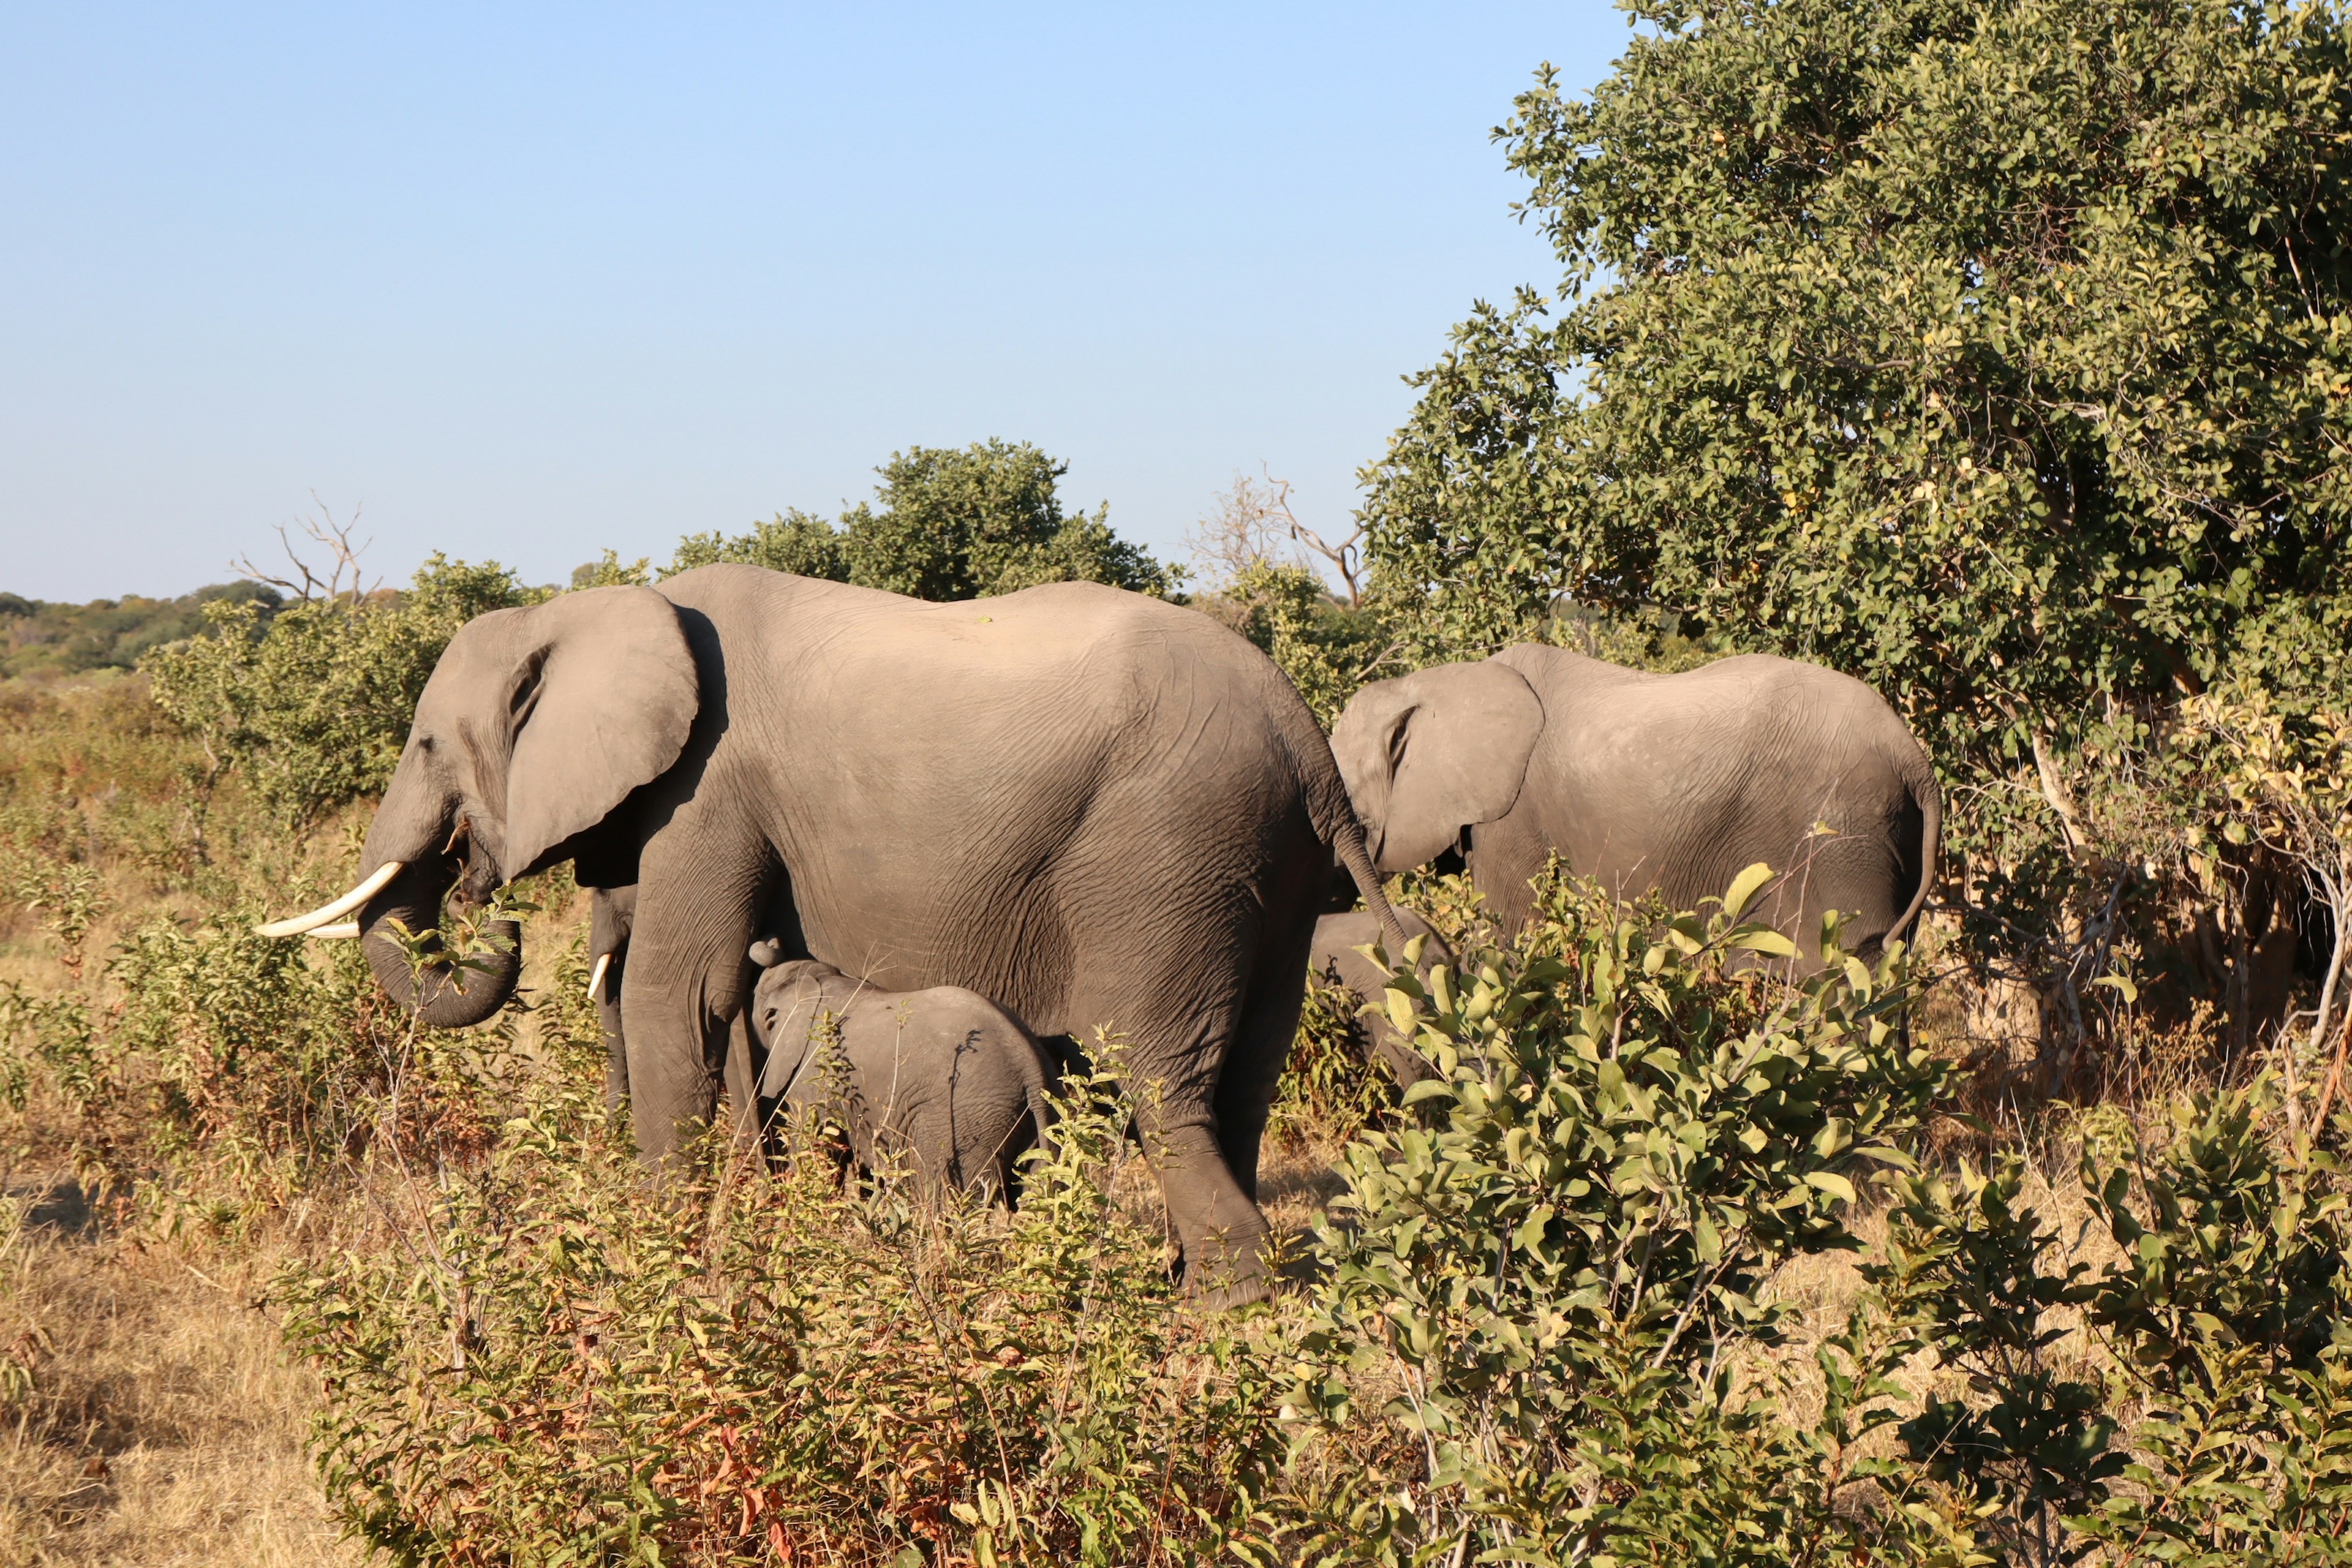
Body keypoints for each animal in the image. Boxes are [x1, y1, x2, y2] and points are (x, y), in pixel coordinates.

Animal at [1336, 649, 1938, 959]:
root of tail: (1913, 758)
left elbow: (1509, 933)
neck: (1433, 683)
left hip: (1840, 838)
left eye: (1357, 815)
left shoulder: (1511, 821)